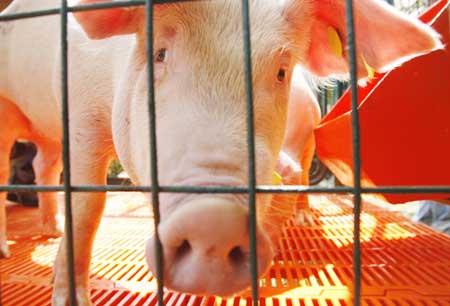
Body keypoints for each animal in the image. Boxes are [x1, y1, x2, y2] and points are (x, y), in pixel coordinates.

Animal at [0, 0, 442, 304]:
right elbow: (88, 209)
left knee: (43, 163)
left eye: (281, 72)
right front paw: (70, 298)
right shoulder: (82, 116)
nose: (215, 218)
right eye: (160, 53)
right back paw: (15, 245)